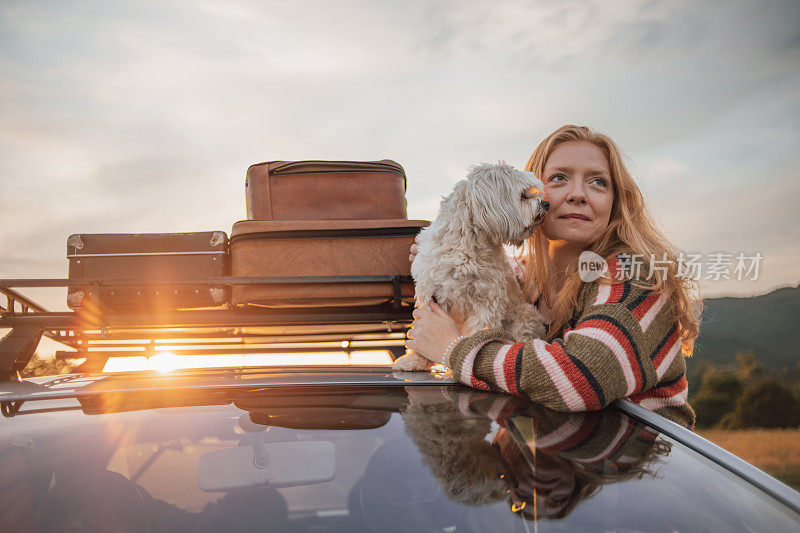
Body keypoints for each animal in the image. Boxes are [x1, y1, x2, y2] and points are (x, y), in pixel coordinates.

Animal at [394, 161, 552, 370]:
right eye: (524, 195)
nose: (546, 204)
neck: (467, 244)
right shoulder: (429, 295)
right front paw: (414, 360)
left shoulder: (486, 301)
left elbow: (477, 332)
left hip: (523, 315)